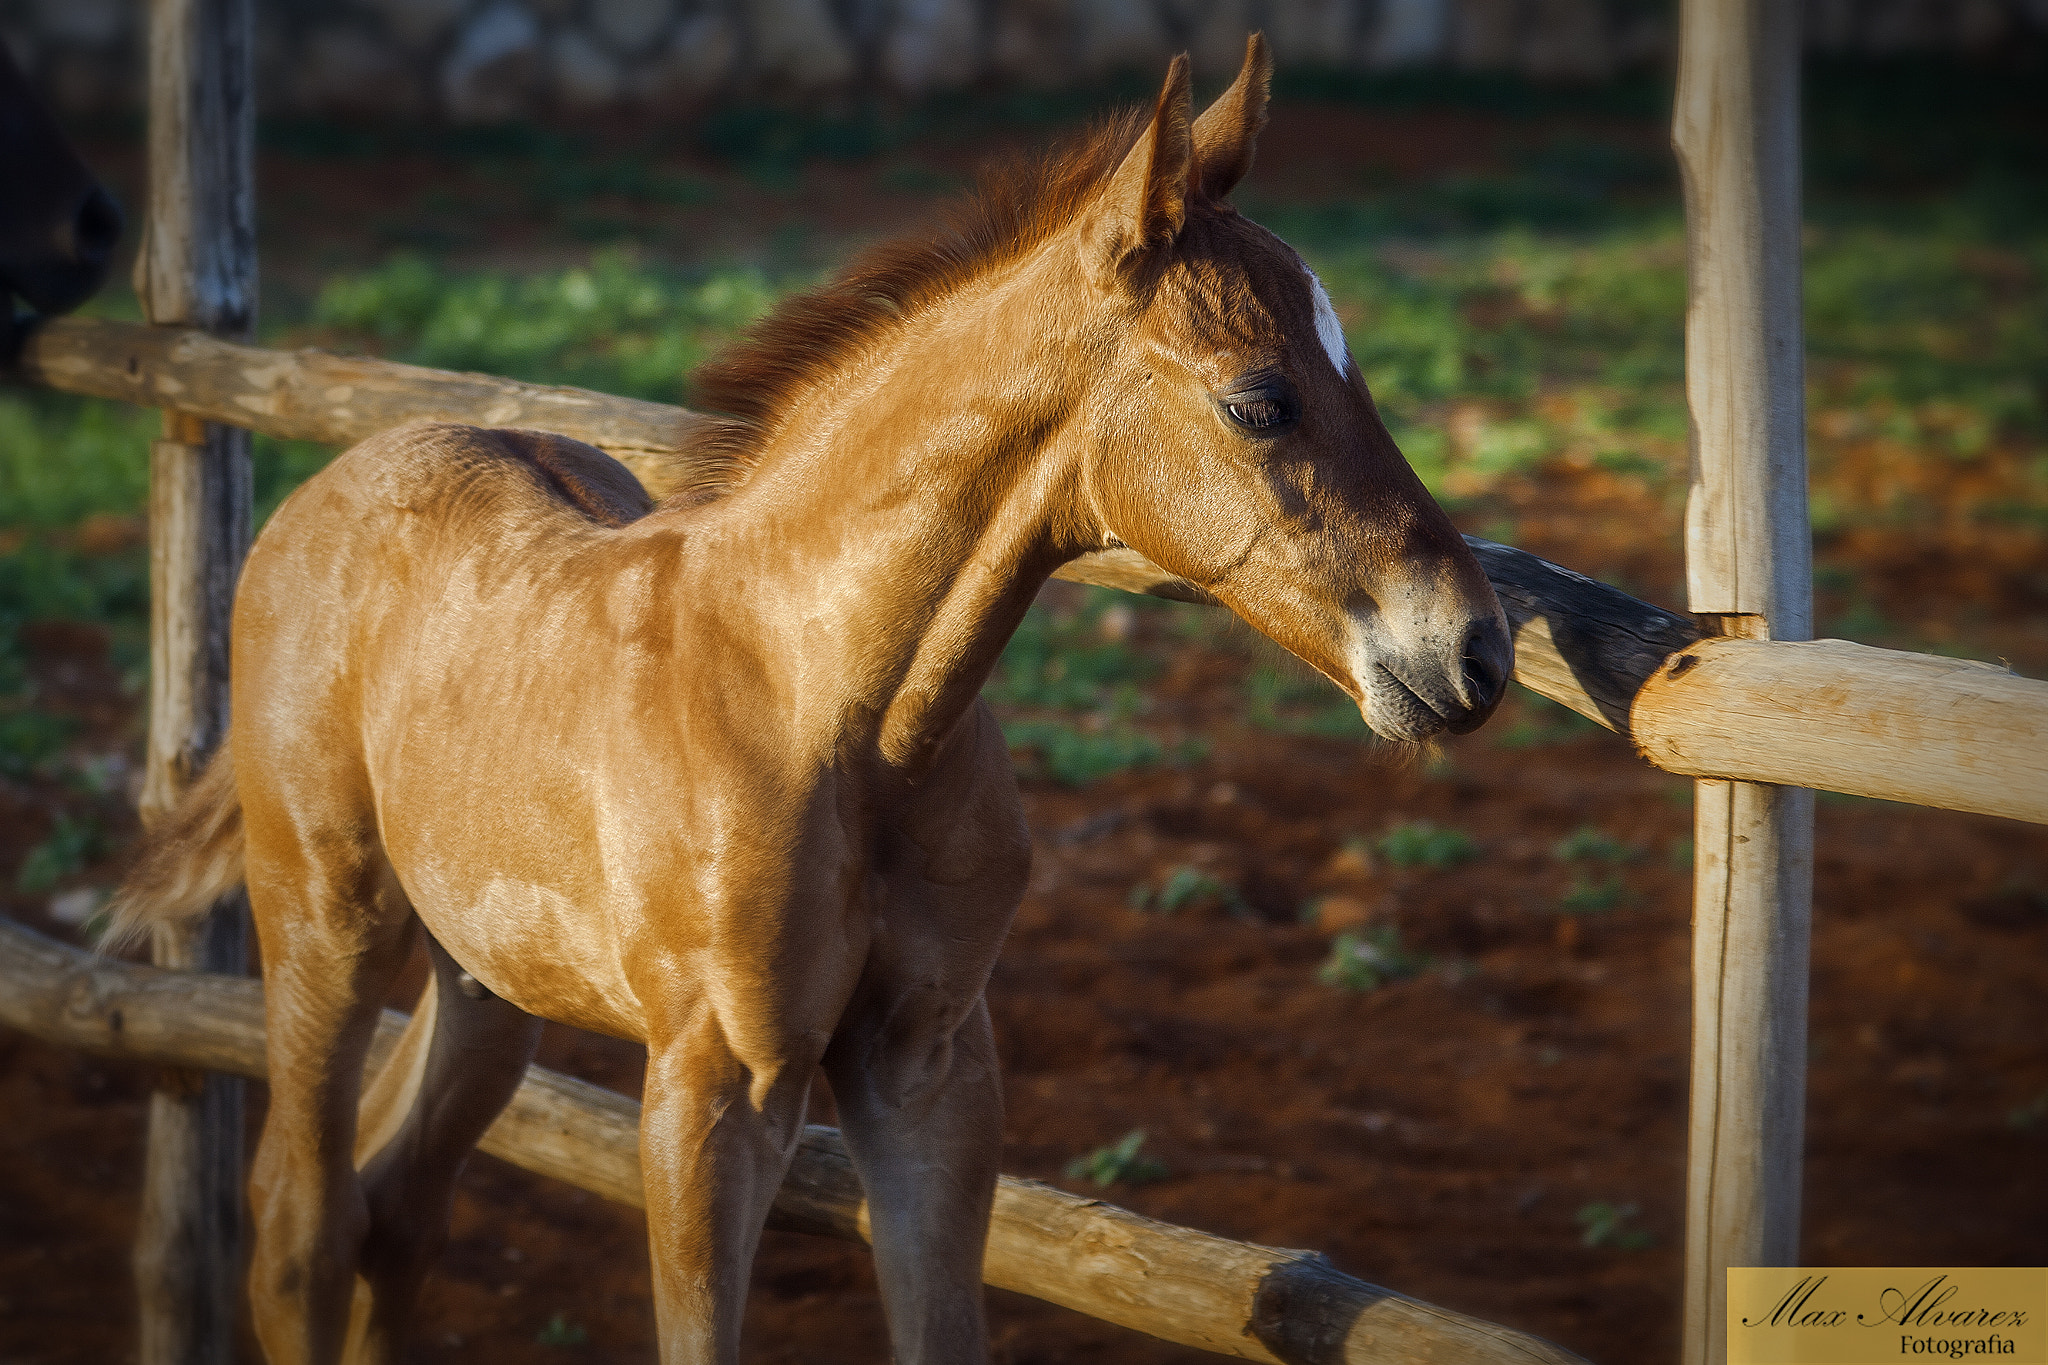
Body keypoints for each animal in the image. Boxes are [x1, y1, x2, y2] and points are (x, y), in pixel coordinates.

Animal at [107, 34, 1512, 1364]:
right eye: (1258, 401)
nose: (1473, 651)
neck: (832, 706)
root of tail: (329, 484)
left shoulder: (930, 1065)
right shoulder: (715, 1079)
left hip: (486, 973)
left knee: (398, 1207)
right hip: (324, 918)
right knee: (302, 1222)